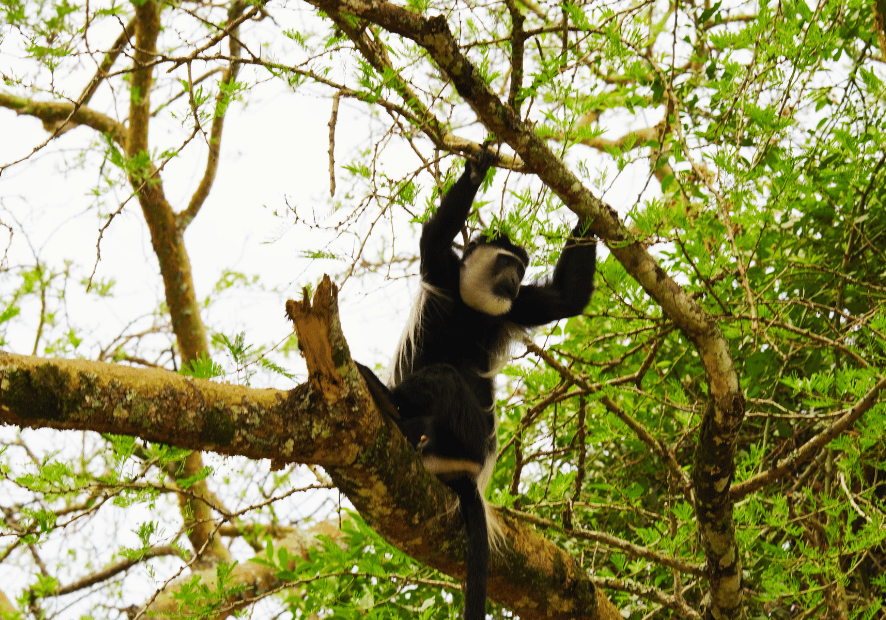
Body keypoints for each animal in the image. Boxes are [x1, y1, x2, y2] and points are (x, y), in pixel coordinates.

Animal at [358, 150, 600, 620]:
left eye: (522, 270)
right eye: (507, 263)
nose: (514, 278)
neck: (473, 307)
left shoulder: (517, 304)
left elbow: (567, 299)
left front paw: (590, 210)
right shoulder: (445, 272)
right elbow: (432, 240)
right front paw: (479, 163)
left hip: (465, 436)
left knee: (444, 382)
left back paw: (397, 411)